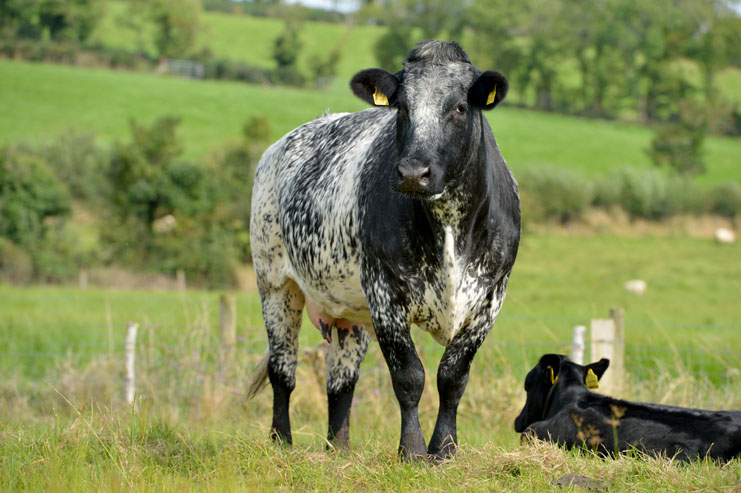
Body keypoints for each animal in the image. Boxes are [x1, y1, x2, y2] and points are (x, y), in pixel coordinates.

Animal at [249, 40, 520, 460]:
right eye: (402, 107)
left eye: (460, 107)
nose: (413, 173)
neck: (449, 227)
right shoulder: (385, 292)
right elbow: (409, 376)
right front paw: (412, 451)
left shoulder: (490, 299)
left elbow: (453, 377)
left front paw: (445, 450)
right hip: (275, 283)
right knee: (283, 369)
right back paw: (281, 441)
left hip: (349, 312)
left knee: (341, 382)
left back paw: (338, 449)